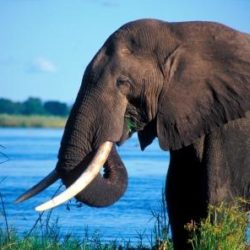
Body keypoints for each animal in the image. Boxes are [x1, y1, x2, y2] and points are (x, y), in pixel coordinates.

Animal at [16, 20, 250, 250]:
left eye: (123, 82)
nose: (120, 127)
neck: (179, 33)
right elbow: (179, 194)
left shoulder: (231, 128)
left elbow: (220, 197)